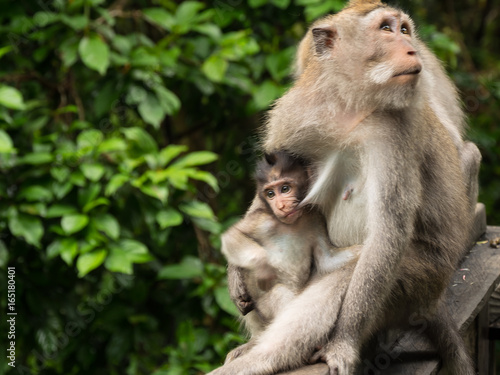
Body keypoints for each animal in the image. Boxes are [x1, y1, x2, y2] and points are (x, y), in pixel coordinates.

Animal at [208, 0, 480, 375]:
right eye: (386, 29)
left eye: (404, 29)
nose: (412, 48)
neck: (350, 102)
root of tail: (434, 301)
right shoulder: (294, 112)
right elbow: (262, 197)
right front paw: (234, 273)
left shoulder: (393, 132)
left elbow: (386, 234)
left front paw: (343, 342)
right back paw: (252, 345)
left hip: (420, 284)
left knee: (348, 274)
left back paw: (261, 359)